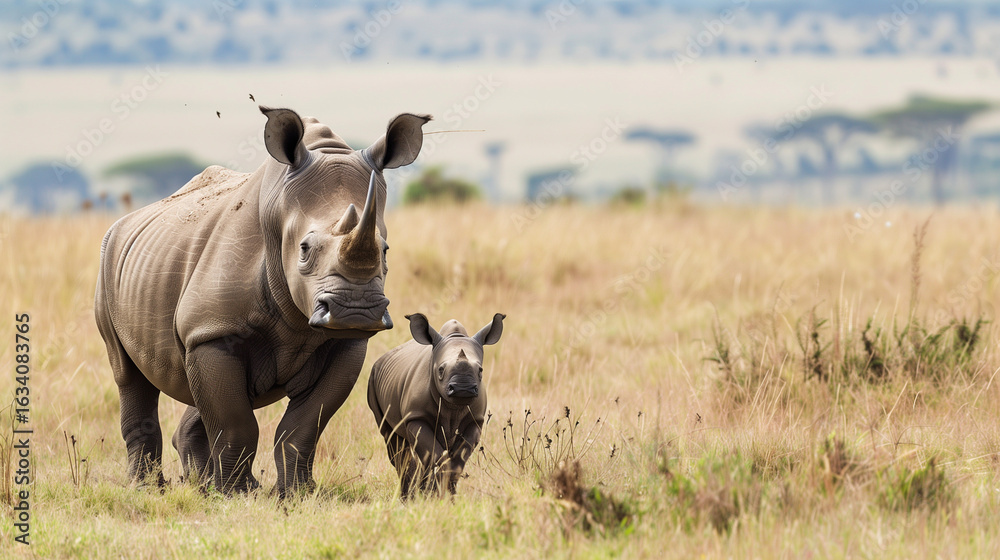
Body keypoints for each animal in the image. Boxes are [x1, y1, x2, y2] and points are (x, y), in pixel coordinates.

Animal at [95, 106, 431, 495]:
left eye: (385, 249)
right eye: (304, 249)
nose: (355, 311)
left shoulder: (346, 345)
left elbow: (302, 427)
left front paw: (297, 494)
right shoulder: (213, 331)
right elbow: (235, 424)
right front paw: (235, 495)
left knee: (201, 390)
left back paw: (203, 485)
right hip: (108, 263)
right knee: (128, 375)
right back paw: (150, 489)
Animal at [367, 312, 505, 497]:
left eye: (480, 370)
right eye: (440, 370)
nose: (463, 388)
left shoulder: (475, 420)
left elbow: (458, 459)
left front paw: (448, 495)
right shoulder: (416, 417)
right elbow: (435, 455)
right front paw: (435, 495)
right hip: (373, 379)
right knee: (394, 443)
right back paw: (409, 496)